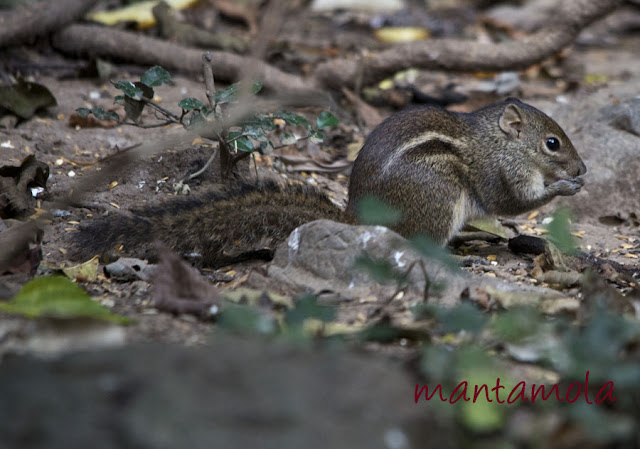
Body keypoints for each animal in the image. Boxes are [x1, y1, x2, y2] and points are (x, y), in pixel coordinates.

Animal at [71, 97, 584, 266]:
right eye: (552, 143)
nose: (581, 170)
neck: (497, 140)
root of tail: (356, 221)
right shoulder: (500, 171)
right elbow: (512, 200)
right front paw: (562, 189)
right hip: (440, 198)